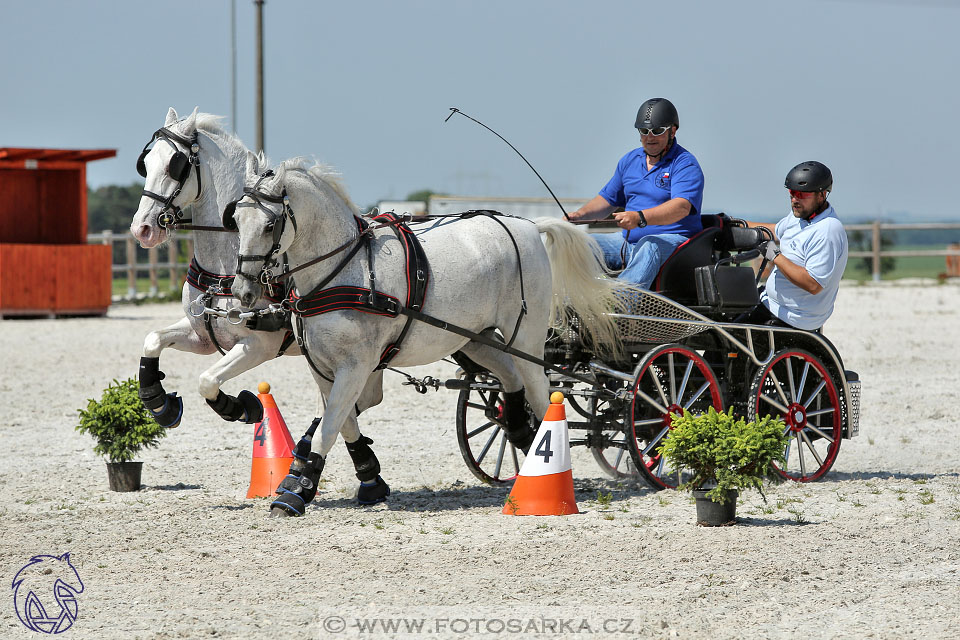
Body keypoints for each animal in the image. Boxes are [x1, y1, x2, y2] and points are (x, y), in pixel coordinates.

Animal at [129, 107, 384, 472]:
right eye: (146, 164)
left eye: (174, 165)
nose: (143, 229)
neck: (226, 261)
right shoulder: (202, 334)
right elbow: (153, 340)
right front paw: (160, 403)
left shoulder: (259, 345)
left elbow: (208, 381)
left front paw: (244, 407)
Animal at [229, 158, 632, 516]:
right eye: (235, 219)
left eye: (269, 224)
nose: (242, 291)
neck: (345, 270)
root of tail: (531, 227)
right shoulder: (322, 367)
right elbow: (342, 422)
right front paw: (366, 478)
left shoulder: (356, 366)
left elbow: (329, 427)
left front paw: (295, 494)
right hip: (476, 338)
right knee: (509, 377)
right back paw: (518, 430)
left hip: (524, 337)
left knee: (540, 388)